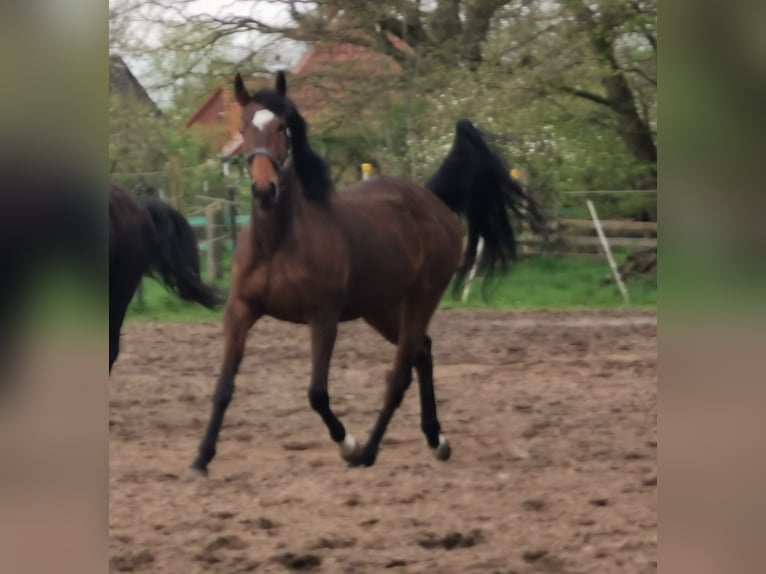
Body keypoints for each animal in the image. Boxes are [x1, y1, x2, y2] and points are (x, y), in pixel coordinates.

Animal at [190, 70, 543, 474]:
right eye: (243, 127)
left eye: (282, 127)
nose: (265, 190)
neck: (278, 241)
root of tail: (430, 198)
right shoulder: (240, 311)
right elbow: (223, 388)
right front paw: (201, 458)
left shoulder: (323, 318)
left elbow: (317, 393)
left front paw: (348, 444)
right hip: (381, 308)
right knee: (422, 351)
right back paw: (436, 440)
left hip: (422, 297)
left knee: (400, 373)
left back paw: (369, 451)